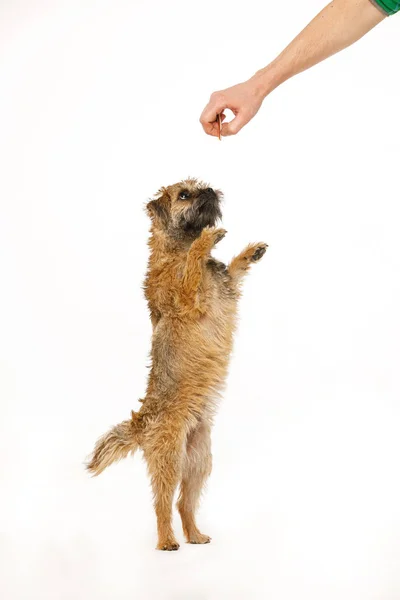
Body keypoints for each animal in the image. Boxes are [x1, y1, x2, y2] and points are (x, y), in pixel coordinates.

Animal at [87, 179, 268, 552]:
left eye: (202, 186)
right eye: (184, 194)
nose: (211, 189)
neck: (176, 248)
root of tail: (142, 422)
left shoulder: (228, 287)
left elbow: (234, 269)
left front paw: (250, 252)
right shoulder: (187, 299)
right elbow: (193, 267)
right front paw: (206, 240)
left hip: (199, 461)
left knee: (185, 502)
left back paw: (195, 535)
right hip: (169, 459)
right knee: (162, 503)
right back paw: (168, 541)